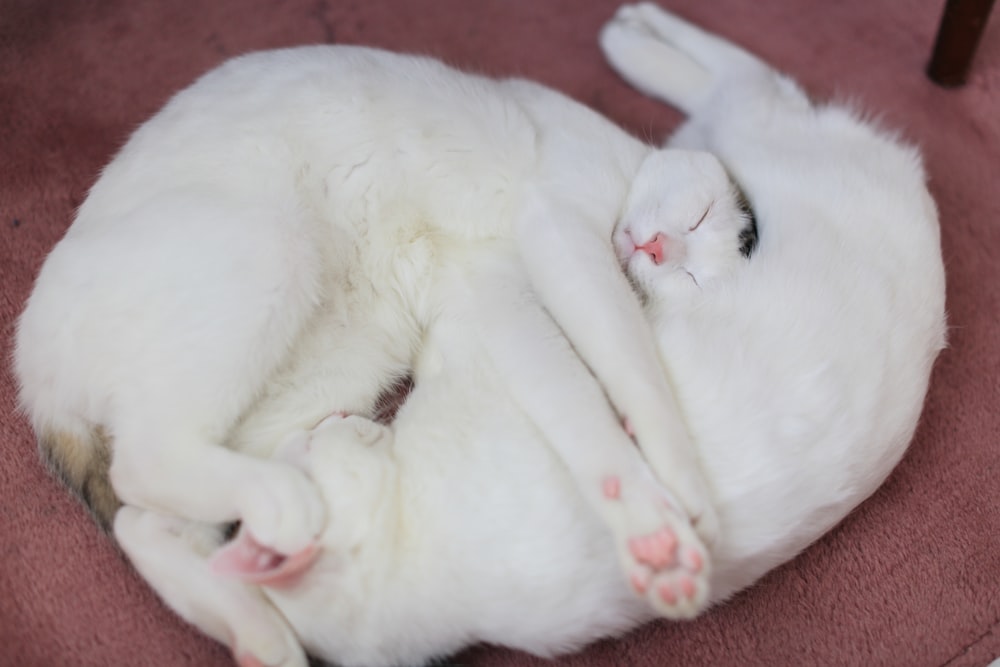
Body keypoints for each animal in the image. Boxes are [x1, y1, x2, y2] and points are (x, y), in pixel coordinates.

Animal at [117, 5, 944, 667]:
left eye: (691, 266)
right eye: (698, 221)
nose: (655, 249)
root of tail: (915, 183)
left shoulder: (491, 314)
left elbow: (599, 378)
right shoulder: (546, 252)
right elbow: (622, 368)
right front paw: (671, 493)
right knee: (744, 83)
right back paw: (634, 33)